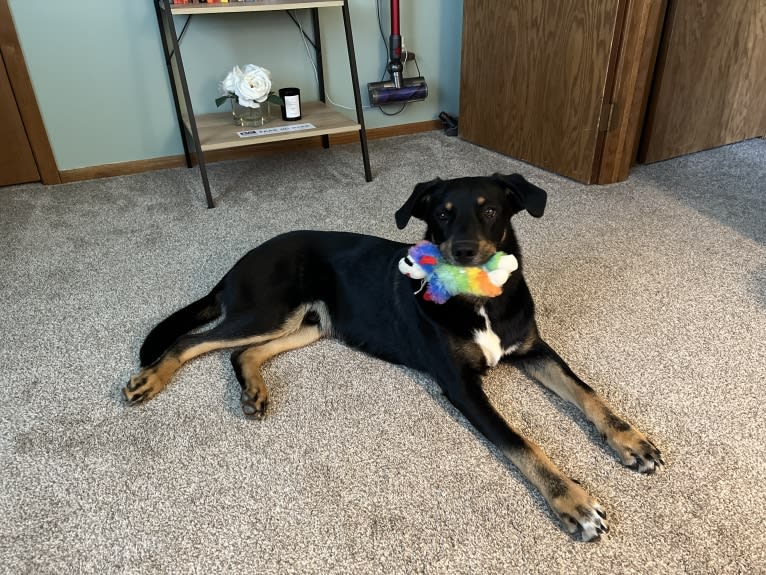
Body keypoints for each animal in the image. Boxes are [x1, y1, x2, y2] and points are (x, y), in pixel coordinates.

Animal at [123, 173, 664, 544]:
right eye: (442, 213)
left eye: (490, 210)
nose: (463, 251)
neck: (480, 298)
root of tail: (238, 263)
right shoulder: (461, 385)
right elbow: (523, 444)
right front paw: (574, 502)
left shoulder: (533, 348)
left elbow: (588, 393)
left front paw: (631, 442)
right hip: (271, 310)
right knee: (189, 344)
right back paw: (148, 380)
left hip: (310, 325)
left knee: (244, 352)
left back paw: (254, 390)